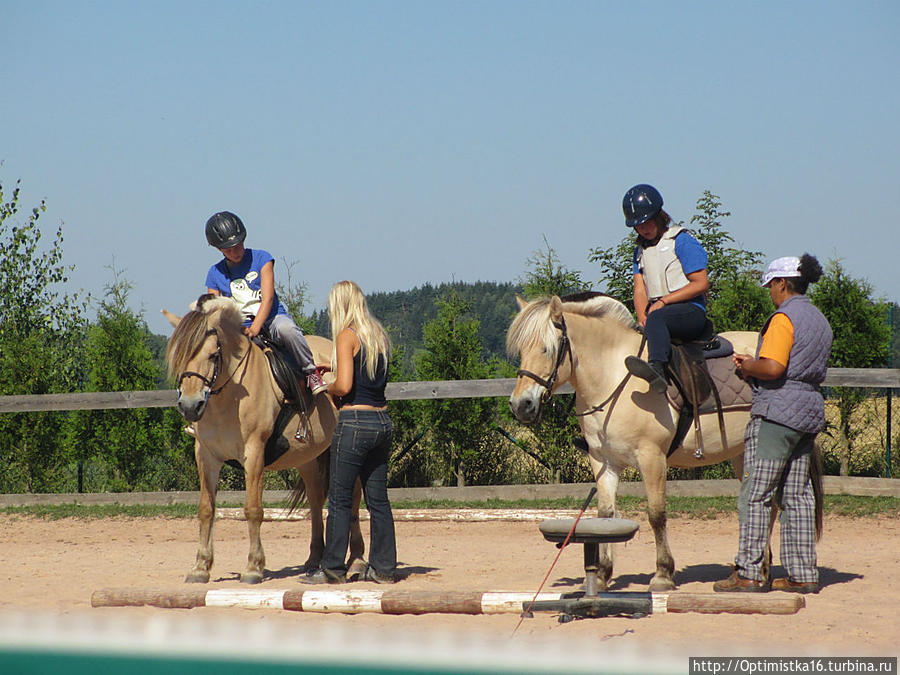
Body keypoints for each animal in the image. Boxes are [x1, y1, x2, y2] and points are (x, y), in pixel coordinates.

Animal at [163, 296, 364, 588]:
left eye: (213, 355)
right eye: (178, 357)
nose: (190, 406)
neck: (230, 395)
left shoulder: (254, 452)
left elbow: (253, 509)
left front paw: (253, 567)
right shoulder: (206, 455)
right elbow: (206, 509)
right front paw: (201, 567)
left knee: (355, 499)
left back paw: (357, 561)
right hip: (307, 456)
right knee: (316, 500)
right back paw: (314, 560)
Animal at [510, 294, 756, 592]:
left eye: (547, 349)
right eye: (522, 350)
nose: (521, 405)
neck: (614, 378)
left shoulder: (652, 458)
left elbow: (656, 514)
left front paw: (663, 574)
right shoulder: (603, 461)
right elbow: (606, 515)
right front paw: (601, 575)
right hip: (742, 453)